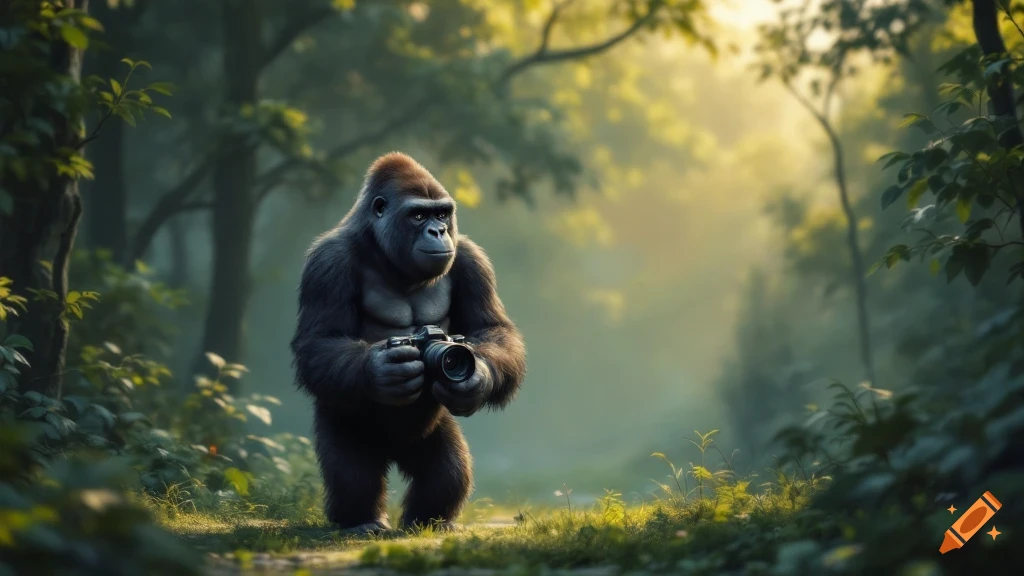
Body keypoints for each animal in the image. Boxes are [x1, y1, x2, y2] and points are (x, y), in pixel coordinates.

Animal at [290, 152, 527, 534]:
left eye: (441, 214)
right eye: (418, 215)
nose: (438, 232)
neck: (381, 249)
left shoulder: (472, 258)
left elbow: (492, 329)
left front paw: (477, 379)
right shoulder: (328, 261)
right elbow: (321, 341)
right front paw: (381, 371)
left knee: (447, 472)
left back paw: (430, 521)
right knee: (353, 473)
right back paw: (362, 520)